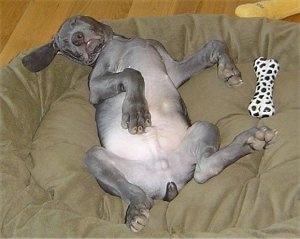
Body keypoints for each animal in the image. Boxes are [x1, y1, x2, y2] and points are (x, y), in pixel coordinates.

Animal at [22, 15, 278, 232]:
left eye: (76, 22)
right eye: (65, 47)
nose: (77, 39)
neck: (116, 43)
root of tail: (165, 181)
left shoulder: (173, 70)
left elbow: (214, 45)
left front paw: (228, 70)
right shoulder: (95, 86)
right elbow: (132, 73)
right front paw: (136, 112)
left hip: (203, 128)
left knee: (205, 168)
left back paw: (250, 141)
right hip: (96, 157)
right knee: (133, 191)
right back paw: (135, 211)